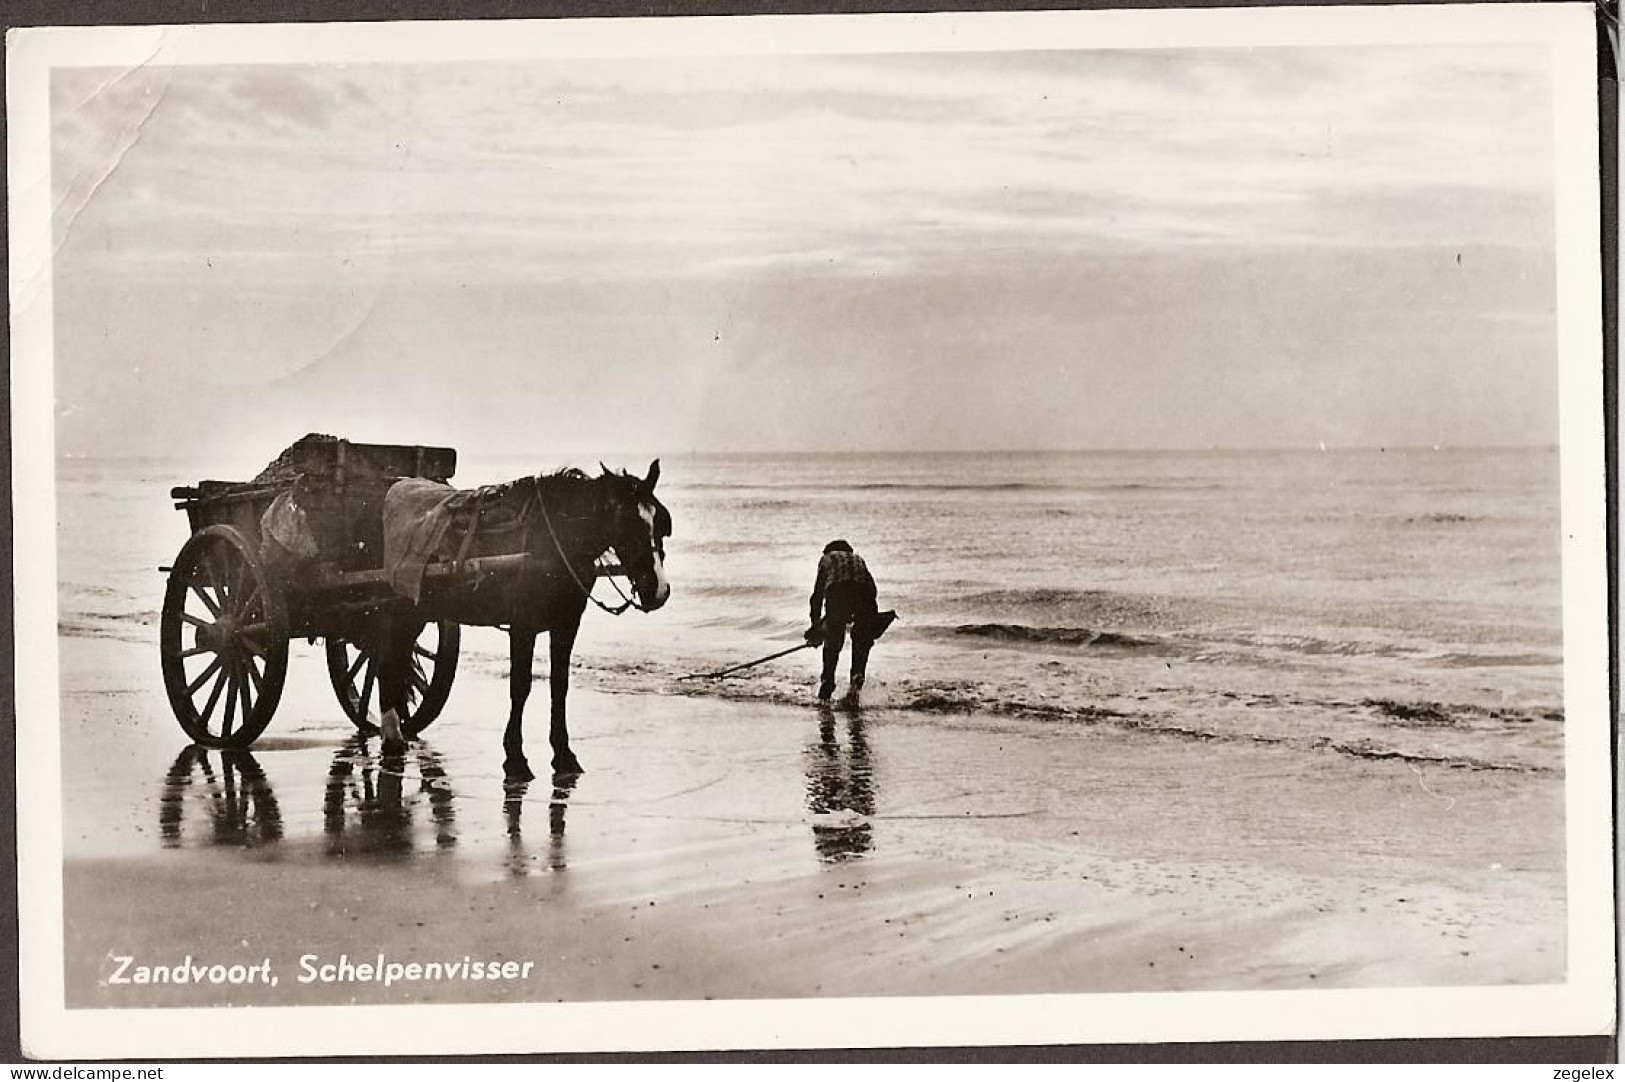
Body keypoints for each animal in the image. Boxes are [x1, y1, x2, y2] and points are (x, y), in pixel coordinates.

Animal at [372, 454, 669, 776]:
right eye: (627, 523)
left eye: (660, 525)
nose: (659, 590)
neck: (553, 540)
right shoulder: (523, 624)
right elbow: (520, 686)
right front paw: (515, 757)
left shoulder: (566, 623)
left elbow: (559, 685)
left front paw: (563, 754)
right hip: (398, 610)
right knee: (386, 662)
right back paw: (392, 738)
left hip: (413, 613)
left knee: (394, 661)